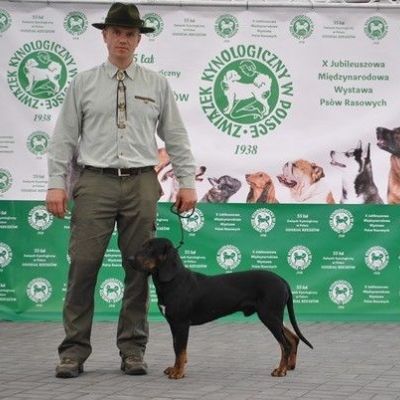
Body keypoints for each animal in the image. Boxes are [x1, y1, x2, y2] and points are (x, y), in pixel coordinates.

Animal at [129, 239, 312, 380]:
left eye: (151, 248)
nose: (129, 258)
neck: (173, 281)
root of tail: (282, 280)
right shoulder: (174, 324)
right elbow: (176, 349)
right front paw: (175, 369)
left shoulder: (181, 323)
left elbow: (180, 350)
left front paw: (178, 373)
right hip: (274, 317)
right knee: (293, 338)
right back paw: (289, 366)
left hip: (269, 316)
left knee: (285, 344)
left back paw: (280, 370)